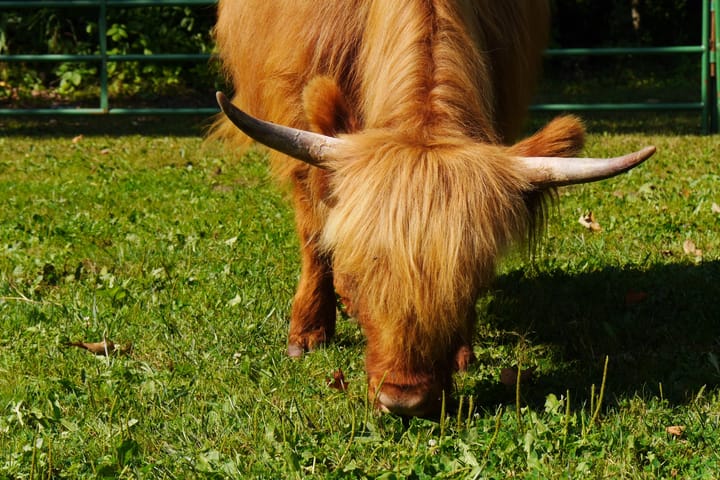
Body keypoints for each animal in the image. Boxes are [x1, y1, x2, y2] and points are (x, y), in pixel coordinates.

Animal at [211, 0, 656, 416]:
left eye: (472, 282)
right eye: (357, 275)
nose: (403, 400)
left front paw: (462, 350)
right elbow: (314, 234)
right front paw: (308, 331)